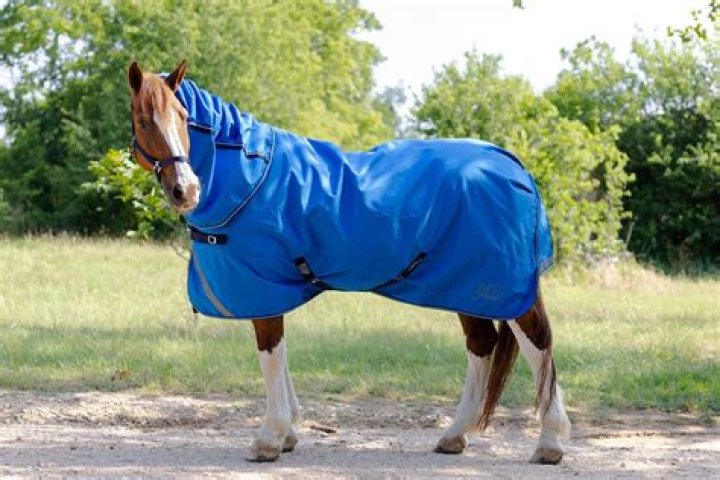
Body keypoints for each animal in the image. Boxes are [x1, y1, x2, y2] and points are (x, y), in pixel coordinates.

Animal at [127, 60, 571, 464]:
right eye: (144, 120)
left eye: (182, 117)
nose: (185, 189)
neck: (250, 178)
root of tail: (512, 163)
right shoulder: (272, 292)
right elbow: (281, 360)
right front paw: (289, 433)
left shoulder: (262, 288)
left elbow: (270, 358)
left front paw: (269, 439)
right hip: (467, 287)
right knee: (481, 345)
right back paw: (454, 436)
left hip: (501, 288)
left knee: (537, 345)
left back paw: (549, 442)